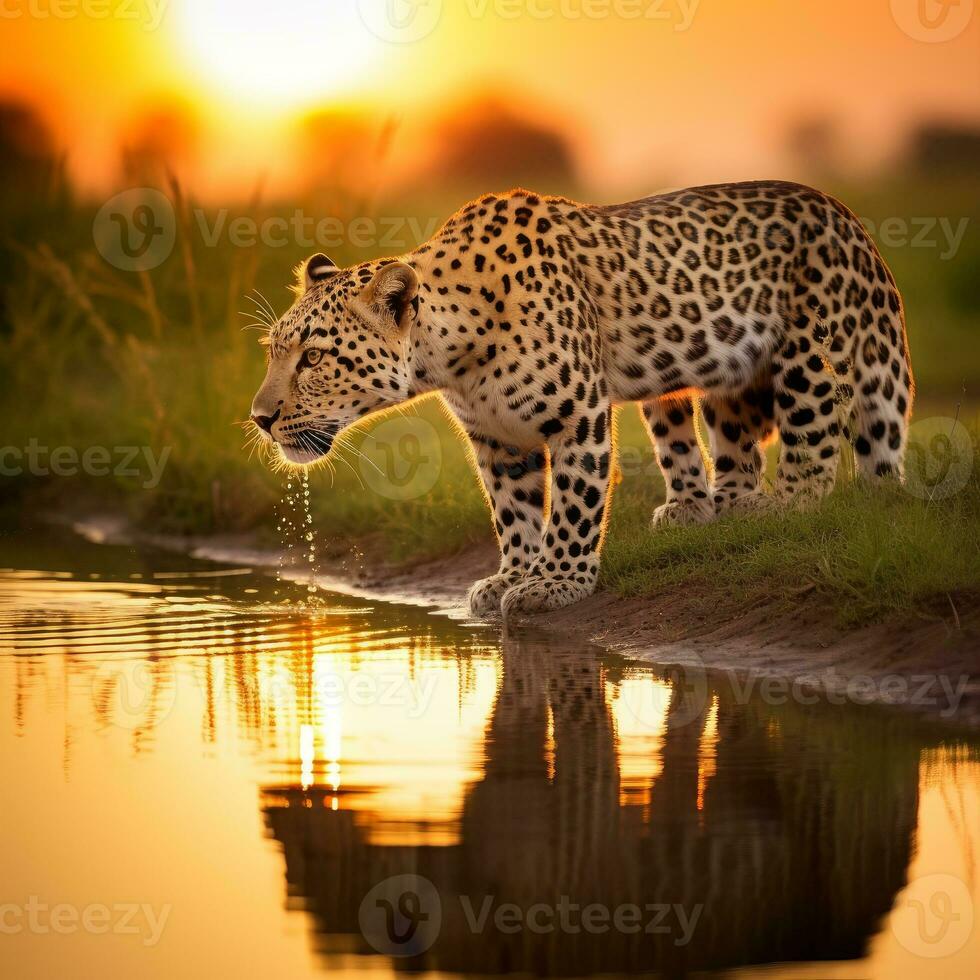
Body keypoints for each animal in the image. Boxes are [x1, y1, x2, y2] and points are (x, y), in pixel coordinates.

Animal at [249, 180, 916, 616]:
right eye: (274, 351)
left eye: (313, 358)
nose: (259, 418)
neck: (453, 359)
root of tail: (848, 218)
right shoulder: (494, 440)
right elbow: (514, 512)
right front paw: (511, 577)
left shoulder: (578, 417)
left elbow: (573, 503)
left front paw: (557, 583)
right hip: (711, 375)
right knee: (723, 447)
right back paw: (712, 507)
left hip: (814, 351)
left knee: (821, 442)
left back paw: (786, 507)